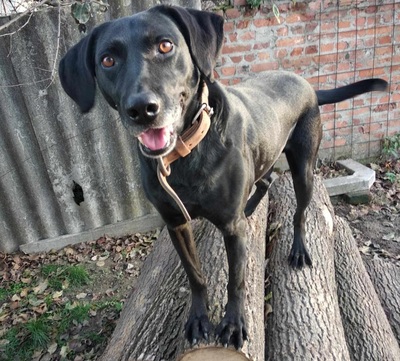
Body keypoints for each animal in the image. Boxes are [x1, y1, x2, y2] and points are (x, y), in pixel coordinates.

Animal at [59, 4, 388, 348]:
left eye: (165, 45)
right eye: (107, 60)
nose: (142, 109)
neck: (186, 153)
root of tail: (308, 83)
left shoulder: (231, 229)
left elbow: (236, 280)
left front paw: (232, 323)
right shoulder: (176, 224)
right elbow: (195, 275)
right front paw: (198, 317)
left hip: (303, 169)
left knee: (299, 211)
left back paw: (298, 250)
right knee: (266, 180)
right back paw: (251, 208)